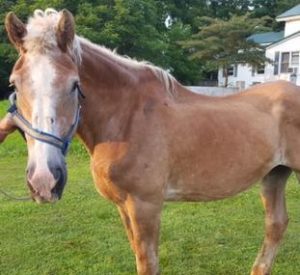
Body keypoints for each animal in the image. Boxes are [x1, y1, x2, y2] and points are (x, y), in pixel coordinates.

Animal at [0, 8, 300, 275]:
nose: (44, 180)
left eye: (75, 84)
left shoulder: (145, 205)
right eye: (14, 85)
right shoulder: (123, 206)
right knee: (276, 224)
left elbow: (147, 263)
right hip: (274, 175)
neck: (128, 117)